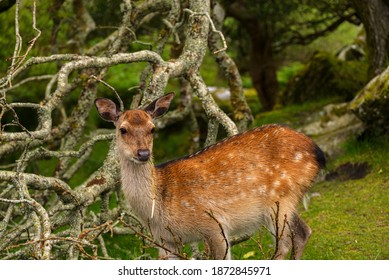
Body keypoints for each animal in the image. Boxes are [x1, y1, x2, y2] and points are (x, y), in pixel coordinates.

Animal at [94, 93, 324, 260]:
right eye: (123, 130)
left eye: (152, 129)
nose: (143, 153)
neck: (156, 212)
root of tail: (317, 151)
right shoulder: (165, 240)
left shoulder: (214, 224)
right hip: (288, 200)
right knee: (303, 232)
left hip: (280, 198)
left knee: (285, 243)